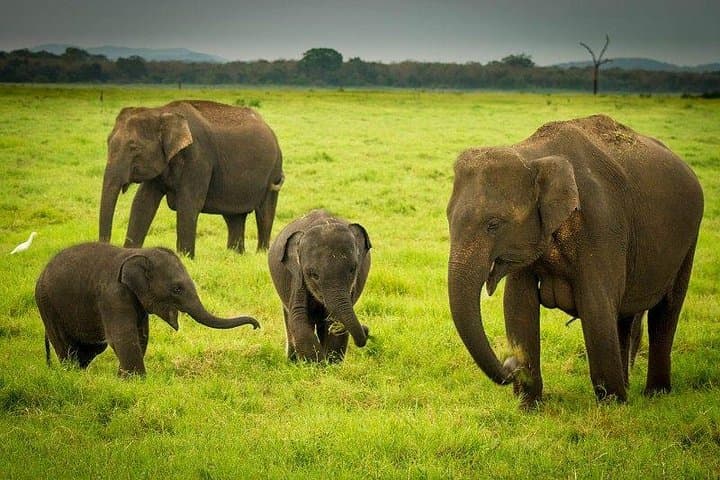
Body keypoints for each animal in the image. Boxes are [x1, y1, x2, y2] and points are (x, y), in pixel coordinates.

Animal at [35, 242, 260, 376]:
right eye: (177, 289)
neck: (140, 252)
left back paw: (80, 373)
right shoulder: (113, 295)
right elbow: (123, 336)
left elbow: (141, 335)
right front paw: (134, 380)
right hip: (46, 305)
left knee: (91, 347)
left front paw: (124, 378)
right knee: (66, 345)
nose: (256, 326)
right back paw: (71, 373)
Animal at [99, 100, 284, 258]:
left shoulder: (198, 157)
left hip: (274, 168)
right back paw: (235, 255)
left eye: (134, 147)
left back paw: (262, 254)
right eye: (107, 143)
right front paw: (130, 252)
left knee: (265, 212)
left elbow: (188, 203)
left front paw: (186, 258)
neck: (161, 111)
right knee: (234, 217)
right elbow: (142, 202)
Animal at [268, 210, 372, 362]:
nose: (366, 329)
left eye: (353, 270)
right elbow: (299, 317)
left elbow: (334, 321)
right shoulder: (297, 276)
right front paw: (318, 364)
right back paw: (292, 361)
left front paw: (330, 365)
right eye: (313, 275)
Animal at [446, 114, 703, 405]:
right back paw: (631, 387)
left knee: (666, 310)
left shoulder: (602, 224)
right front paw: (528, 406)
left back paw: (654, 395)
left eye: (493, 224)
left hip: (688, 239)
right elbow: (518, 305)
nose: (511, 364)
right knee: (625, 315)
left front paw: (612, 406)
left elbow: (595, 306)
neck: (533, 155)